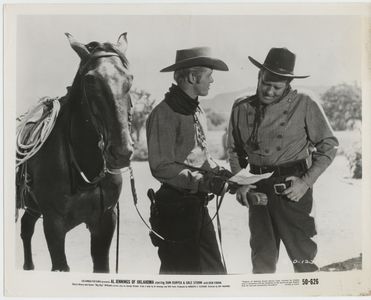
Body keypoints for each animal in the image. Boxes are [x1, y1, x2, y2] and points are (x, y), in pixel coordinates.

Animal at [17, 32, 135, 272]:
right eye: (90, 80)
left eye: (130, 78)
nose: (121, 152)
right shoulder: (53, 224)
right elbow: (60, 264)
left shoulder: (105, 220)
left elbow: (102, 265)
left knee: (26, 226)